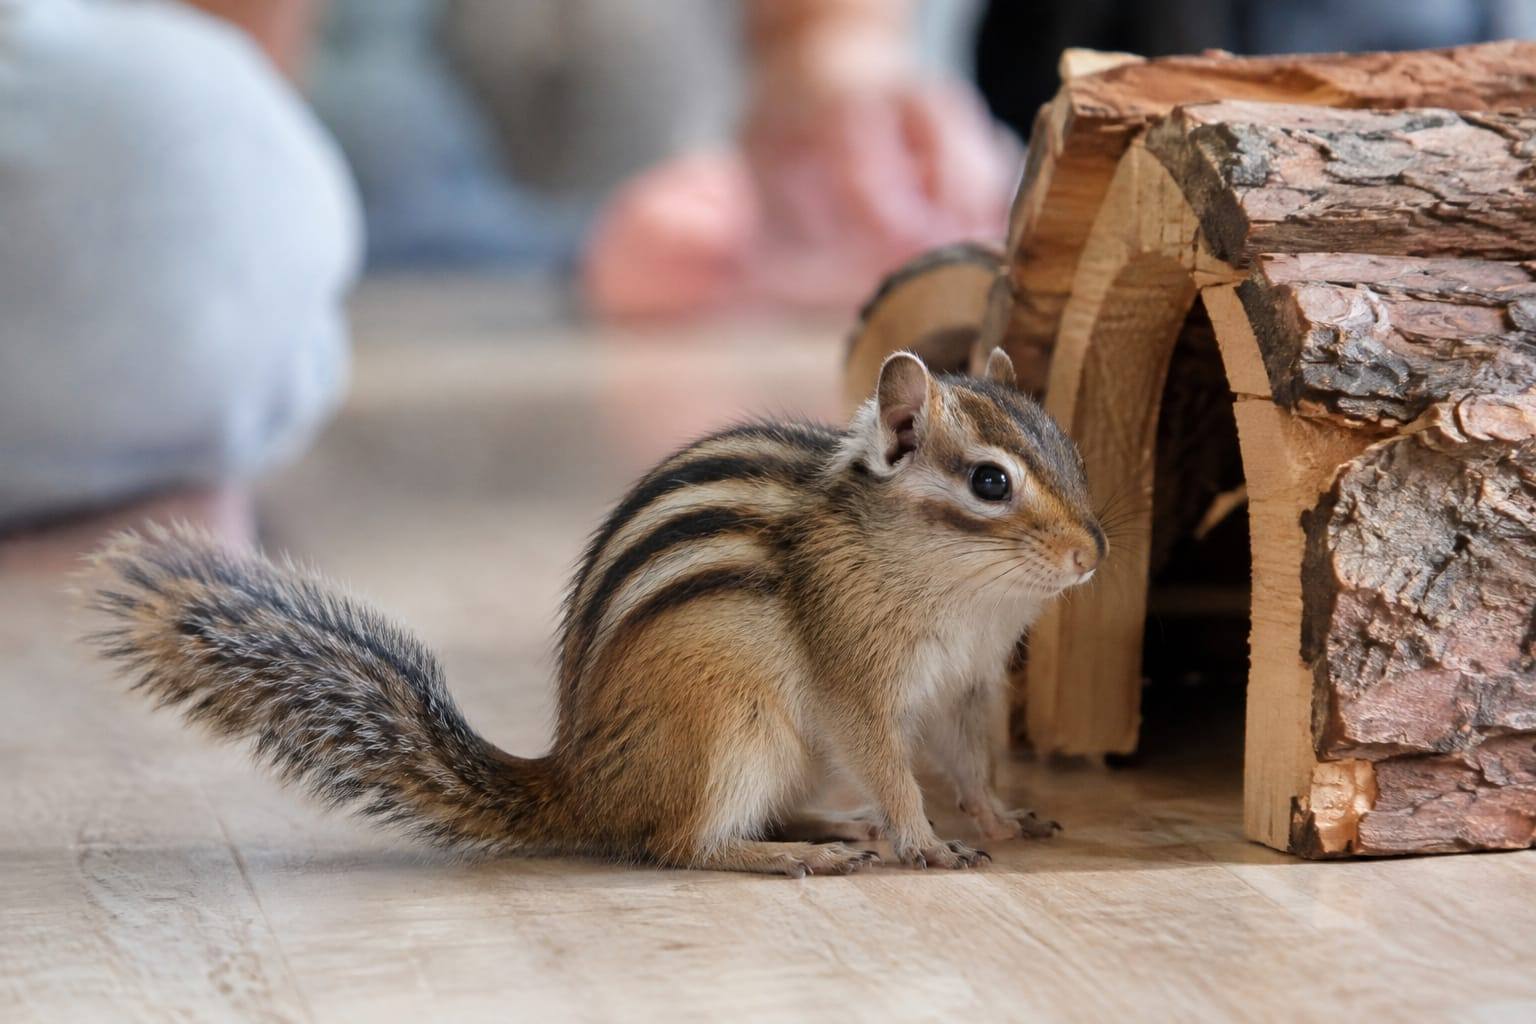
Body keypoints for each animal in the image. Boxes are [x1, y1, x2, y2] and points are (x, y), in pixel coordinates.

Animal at [87, 348, 1105, 877]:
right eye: (989, 483)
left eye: (1070, 449)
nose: (1093, 556)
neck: (964, 593)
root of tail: (579, 783)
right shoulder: (855, 682)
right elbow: (892, 768)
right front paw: (925, 841)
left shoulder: (966, 687)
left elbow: (968, 763)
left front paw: (1002, 818)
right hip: (730, 726)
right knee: (680, 843)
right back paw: (789, 856)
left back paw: (826, 829)